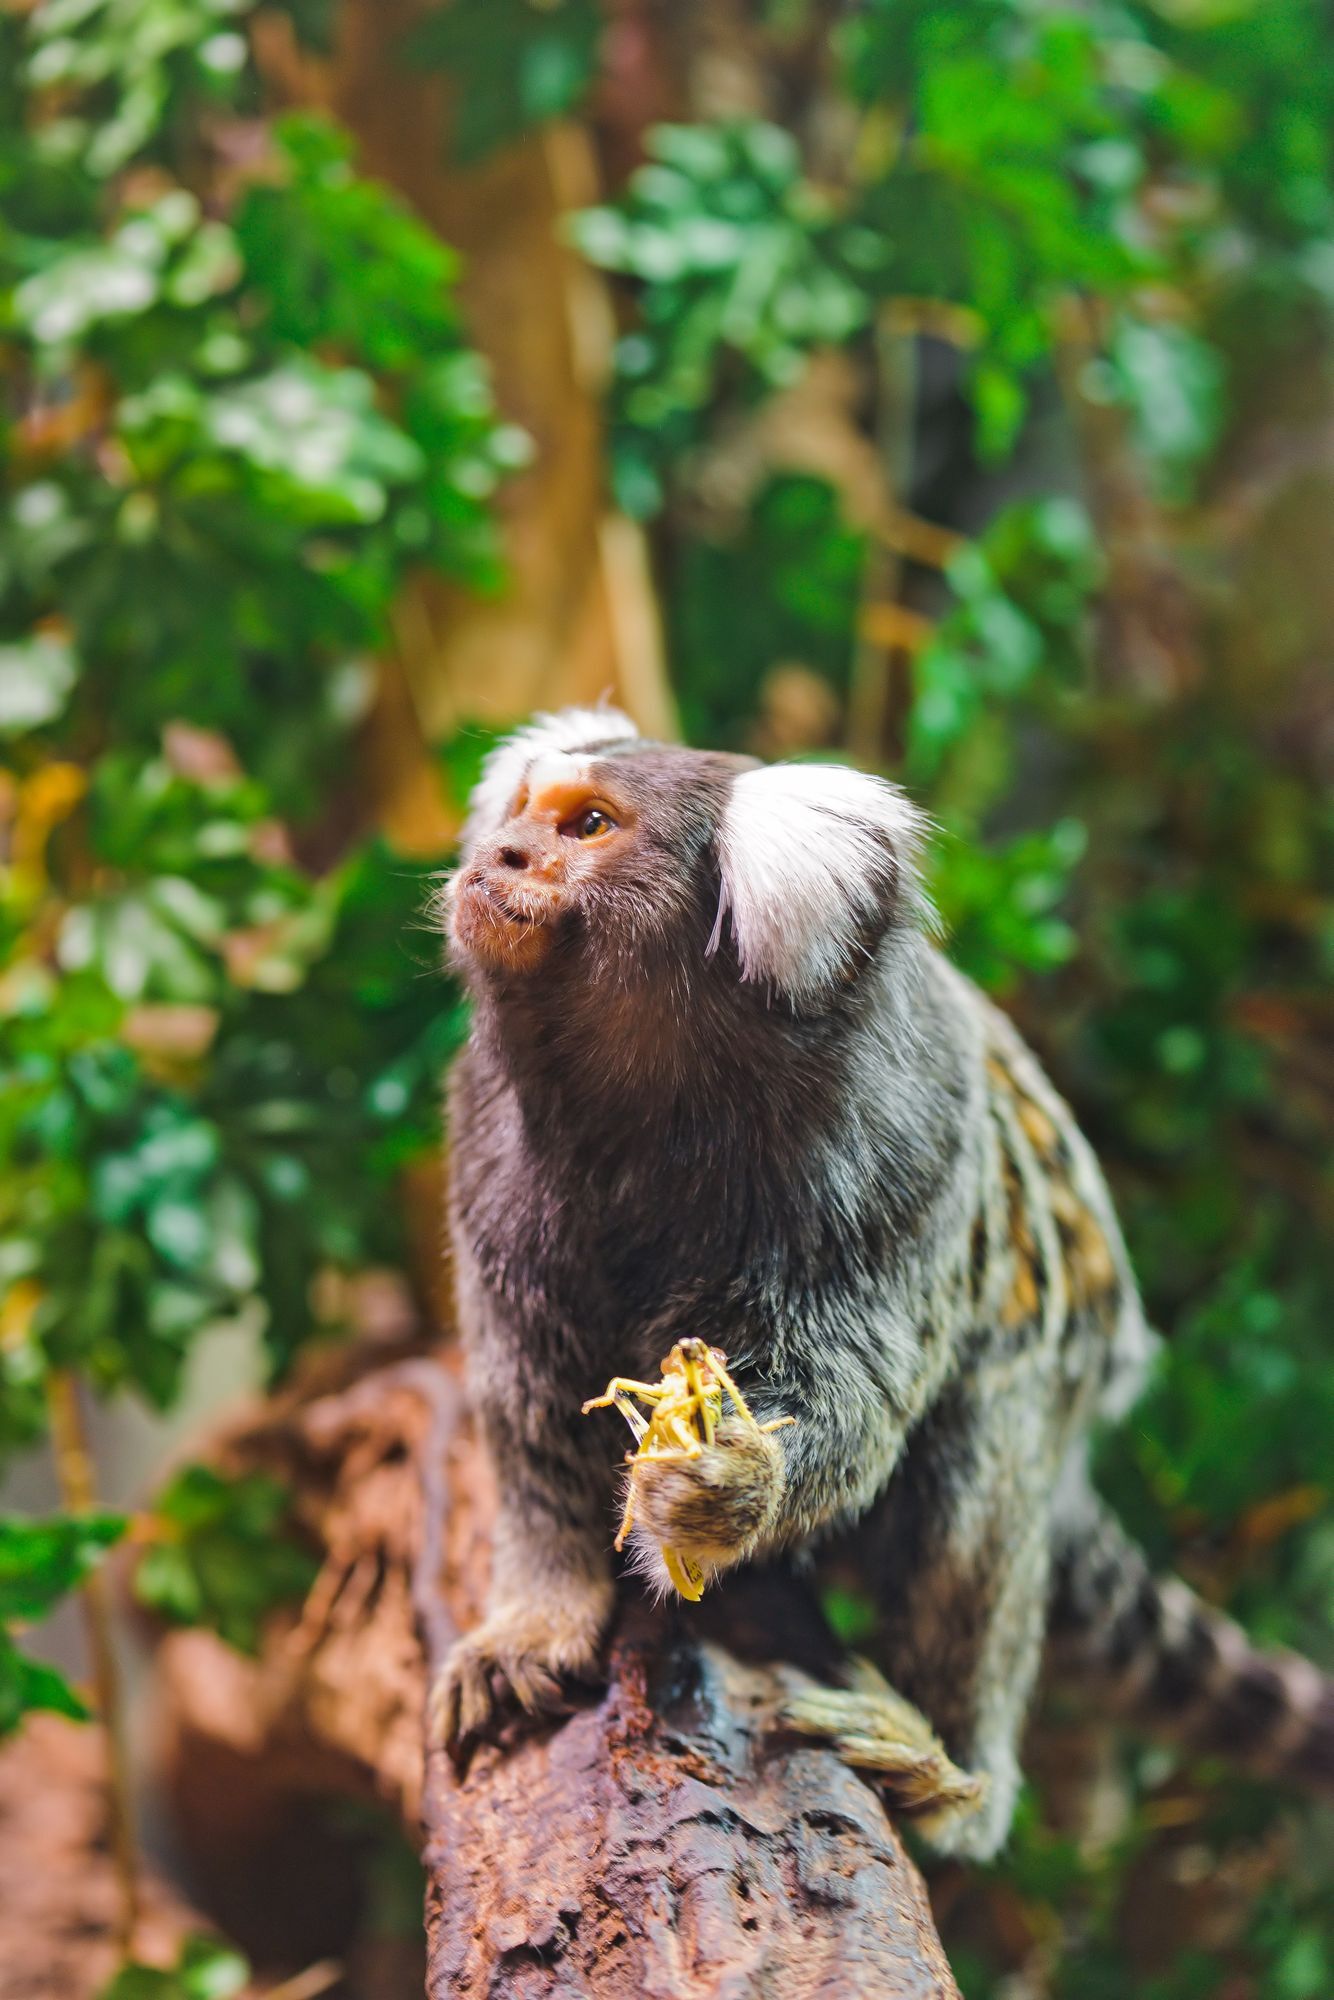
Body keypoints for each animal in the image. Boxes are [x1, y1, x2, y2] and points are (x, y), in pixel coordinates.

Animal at [434, 708, 1328, 1856]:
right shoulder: (489, 1141)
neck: (648, 1099)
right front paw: (535, 1619)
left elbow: (854, 1404)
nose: (498, 855)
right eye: (518, 811)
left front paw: (725, 1487)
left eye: (587, 824)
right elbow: (528, 1409)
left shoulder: (897, 1155)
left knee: (977, 1477)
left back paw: (952, 1778)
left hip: (1042, 1390)